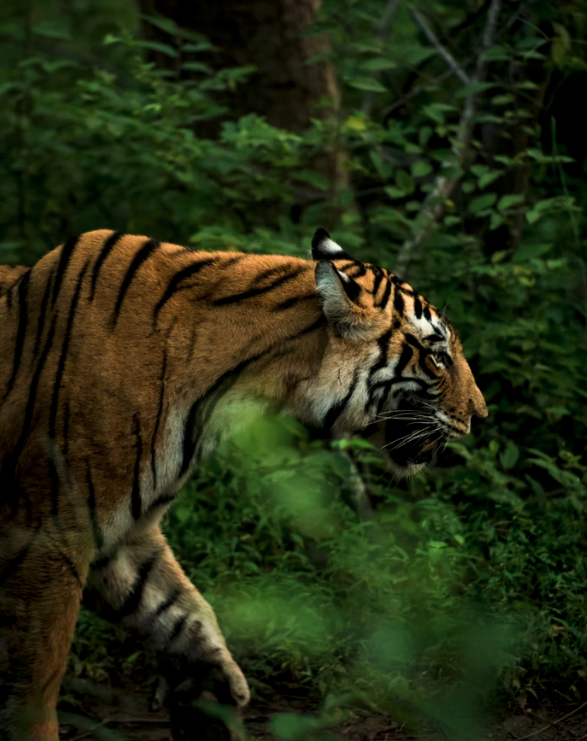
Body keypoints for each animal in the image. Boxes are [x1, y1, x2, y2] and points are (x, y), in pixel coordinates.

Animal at [0, 228, 487, 740]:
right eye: (437, 357)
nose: (481, 415)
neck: (233, 388)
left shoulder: (121, 535)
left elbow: (177, 608)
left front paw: (211, 691)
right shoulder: (49, 532)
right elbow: (38, 677)